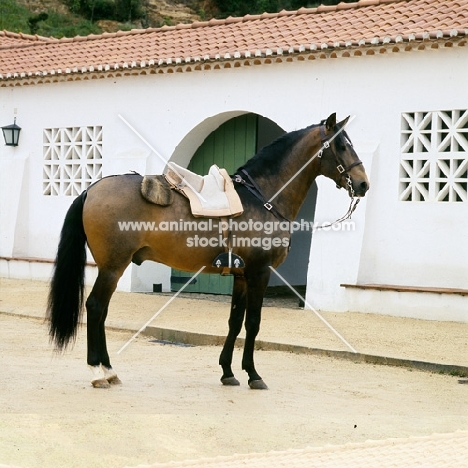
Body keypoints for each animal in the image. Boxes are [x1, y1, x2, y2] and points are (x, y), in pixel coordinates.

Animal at [47, 112, 370, 388]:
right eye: (342, 145)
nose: (364, 184)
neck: (263, 198)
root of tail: (91, 189)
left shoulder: (241, 276)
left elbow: (235, 322)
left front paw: (228, 371)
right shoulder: (260, 273)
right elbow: (253, 323)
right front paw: (253, 374)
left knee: (101, 311)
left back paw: (108, 370)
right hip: (113, 266)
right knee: (95, 307)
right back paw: (99, 371)